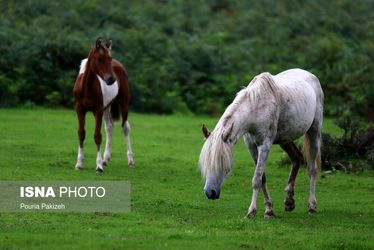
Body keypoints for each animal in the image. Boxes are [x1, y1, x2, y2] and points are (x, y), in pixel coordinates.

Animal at [73, 37, 134, 174]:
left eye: (109, 58)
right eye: (99, 58)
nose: (111, 79)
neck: (87, 88)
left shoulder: (98, 110)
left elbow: (97, 136)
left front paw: (98, 166)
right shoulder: (80, 109)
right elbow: (81, 133)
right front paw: (79, 164)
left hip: (123, 103)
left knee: (125, 127)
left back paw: (130, 161)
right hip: (106, 108)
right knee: (110, 127)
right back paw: (105, 159)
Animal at [199, 68, 324, 219]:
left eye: (223, 163)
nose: (210, 192)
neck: (256, 108)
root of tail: (310, 75)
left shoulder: (264, 145)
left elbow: (257, 179)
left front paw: (251, 211)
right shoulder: (251, 146)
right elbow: (262, 177)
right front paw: (269, 210)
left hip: (314, 132)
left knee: (312, 168)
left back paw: (312, 205)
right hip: (285, 139)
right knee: (296, 158)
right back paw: (289, 200)